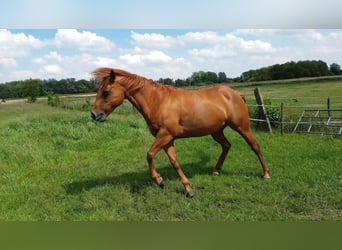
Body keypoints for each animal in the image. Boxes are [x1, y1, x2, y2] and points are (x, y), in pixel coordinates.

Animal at [91, 68, 270, 197]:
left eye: (106, 92)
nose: (94, 114)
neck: (159, 101)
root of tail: (236, 94)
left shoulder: (165, 135)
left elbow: (149, 155)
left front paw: (159, 181)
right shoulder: (166, 139)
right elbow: (174, 162)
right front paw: (188, 189)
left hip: (242, 127)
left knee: (255, 146)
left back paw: (266, 174)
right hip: (216, 131)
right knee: (226, 146)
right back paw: (216, 171)